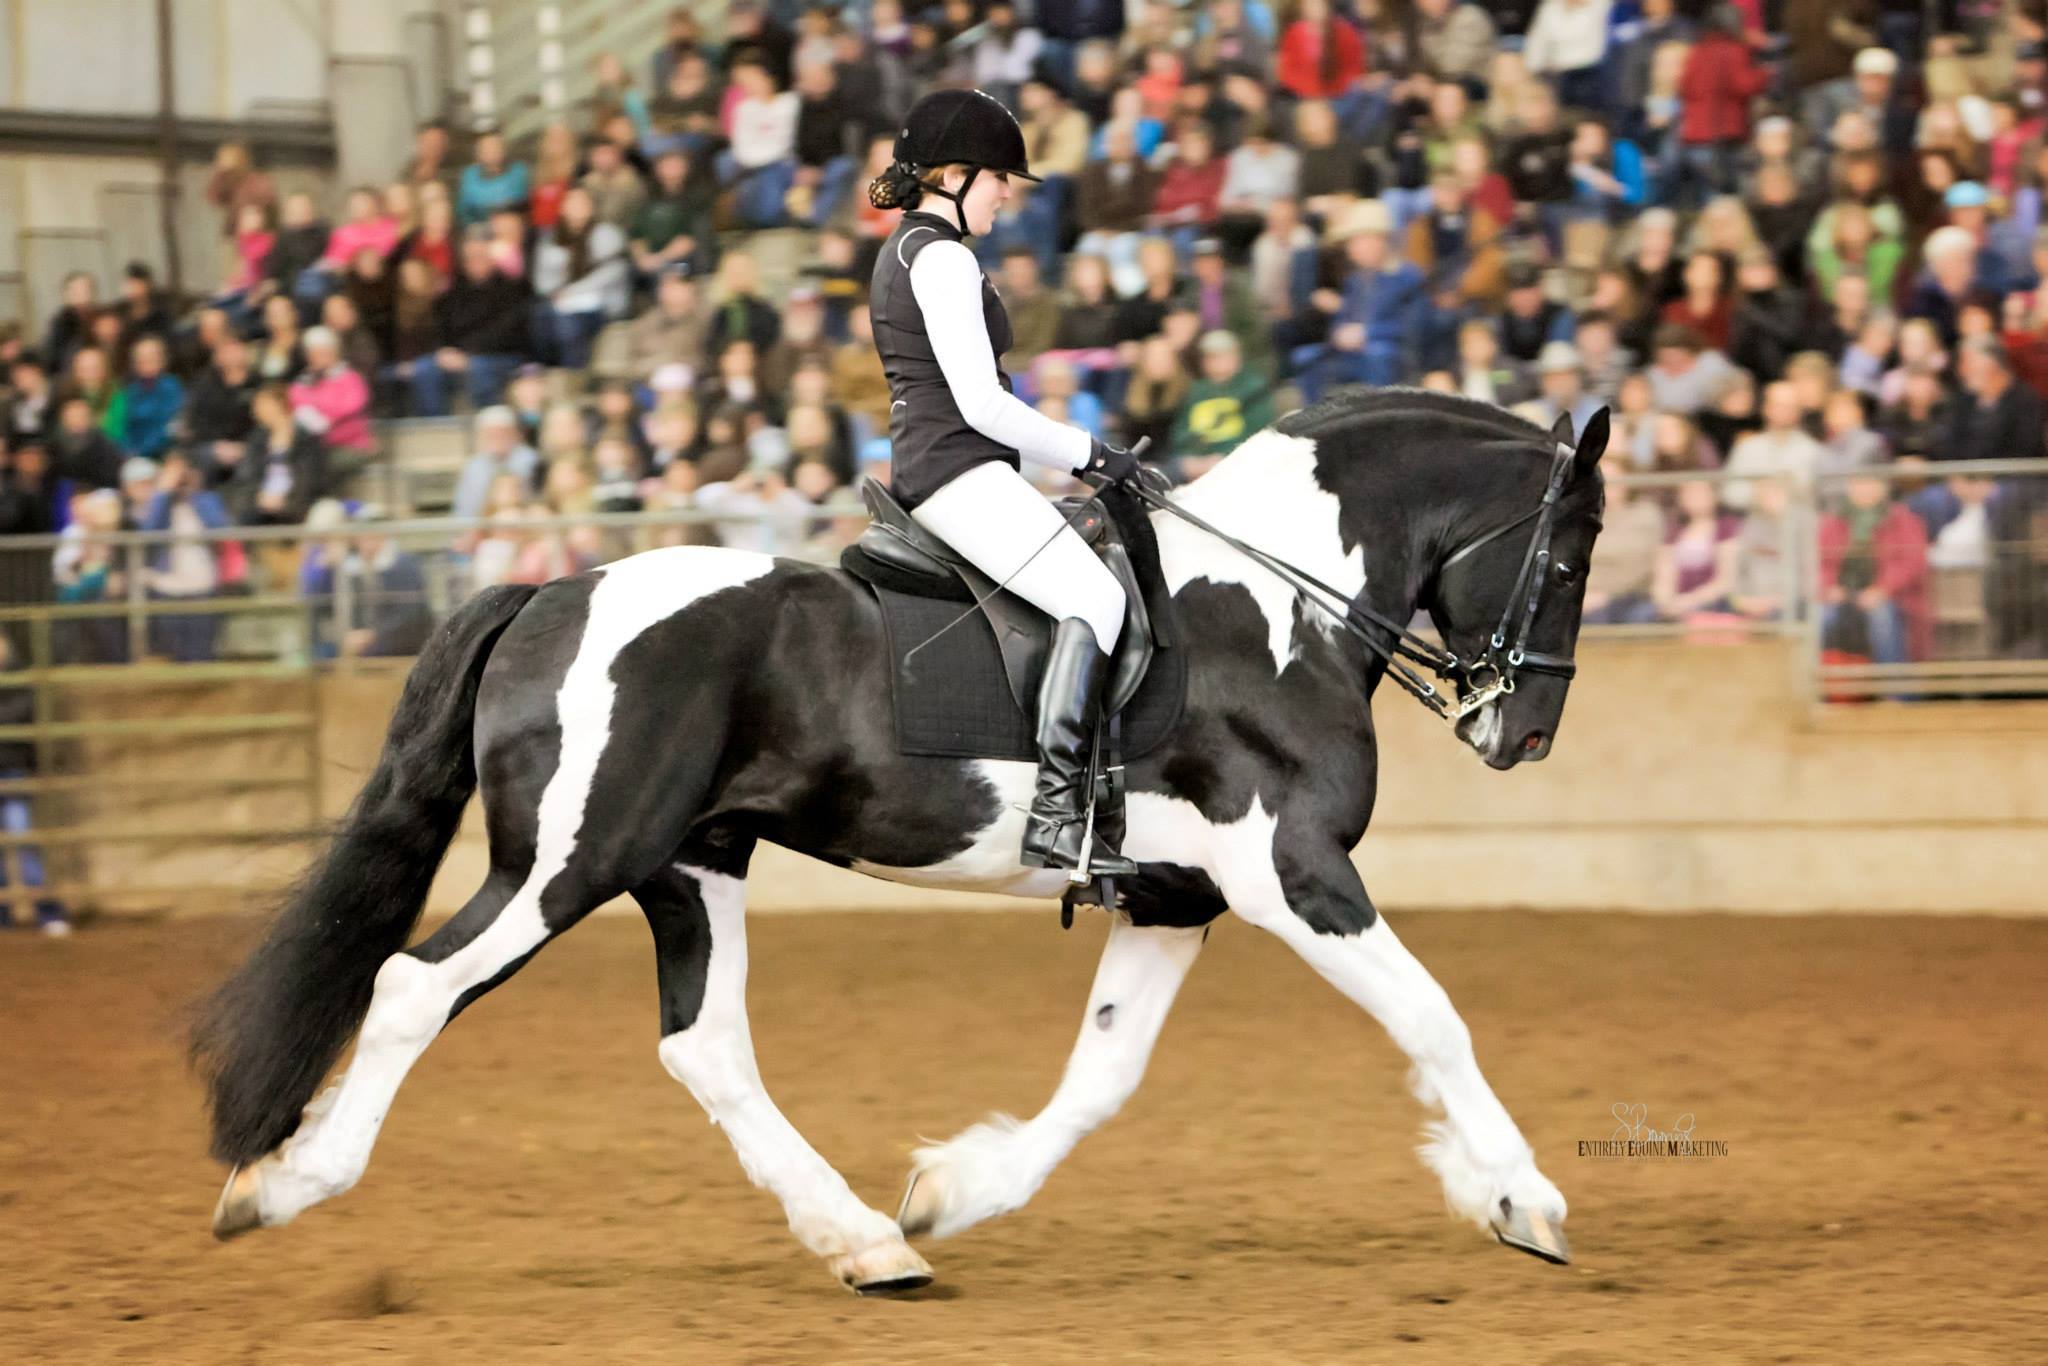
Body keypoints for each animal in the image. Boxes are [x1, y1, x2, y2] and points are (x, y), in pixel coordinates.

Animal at [192, 393, 1605, 1294]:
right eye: (1570, 553)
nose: (1523, 731)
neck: (1270, 603)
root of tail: (551, 587)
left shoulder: (1173, 899)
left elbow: (1101, 1075)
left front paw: (953, 1189)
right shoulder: (1290, 873)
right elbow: (1429, 1015)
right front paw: (1521, 1199)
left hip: (691, 863)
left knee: (704, 1046)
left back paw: (870, 1241)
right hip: (563, 865)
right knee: (412, 986)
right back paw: (282, 1183)